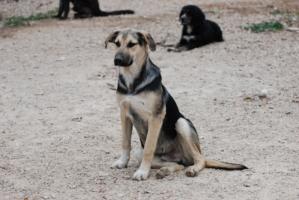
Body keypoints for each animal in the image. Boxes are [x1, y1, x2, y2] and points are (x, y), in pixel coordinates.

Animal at [105, 29, 246, 180]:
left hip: (182, 123)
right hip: (142, 153)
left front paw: (142, 172)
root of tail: (179, 156)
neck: (133, 81)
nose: (117, 60)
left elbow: (149, 147)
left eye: (132, 44)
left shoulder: (156, 117)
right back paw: (165, 170)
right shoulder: (124, 113)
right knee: (178, 164)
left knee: (200, 159)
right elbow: (125, 142)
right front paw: (122, 162)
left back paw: (192, 169)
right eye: (117, 43)